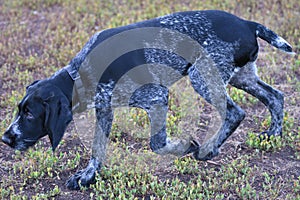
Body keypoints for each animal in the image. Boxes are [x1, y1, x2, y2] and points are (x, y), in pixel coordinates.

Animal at [1, 10, 292, 190]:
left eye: (29, 114)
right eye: (20, 110)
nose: (5, 138)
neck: (82, 73)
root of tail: (247, 23)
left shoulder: (157, 96)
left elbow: (157, 143)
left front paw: (184, 147)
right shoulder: (104, 109)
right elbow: (97, 149)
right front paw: (88, 176)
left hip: (203, 78)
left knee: (236, 112)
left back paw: (208, 150)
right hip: (240, 77)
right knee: (275, 97)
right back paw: (273, 135)